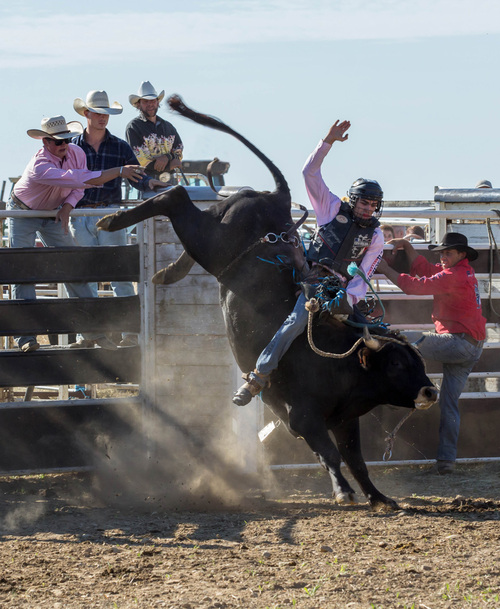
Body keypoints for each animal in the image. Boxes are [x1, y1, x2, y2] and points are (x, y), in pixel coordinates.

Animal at [98, 97, 438, 510]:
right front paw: (343, 493)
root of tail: (276, 197)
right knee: (174, 196)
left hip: (212, 244)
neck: (342, 360)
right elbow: (330, 453)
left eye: (418, 361)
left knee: (180, 211)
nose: (431, 392)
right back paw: (112, 221)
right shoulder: (303, 417)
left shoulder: (345, 418)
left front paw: (379, 497)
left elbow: (356, 459)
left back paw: (166, 273)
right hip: (214, 241)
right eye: (396, 364)